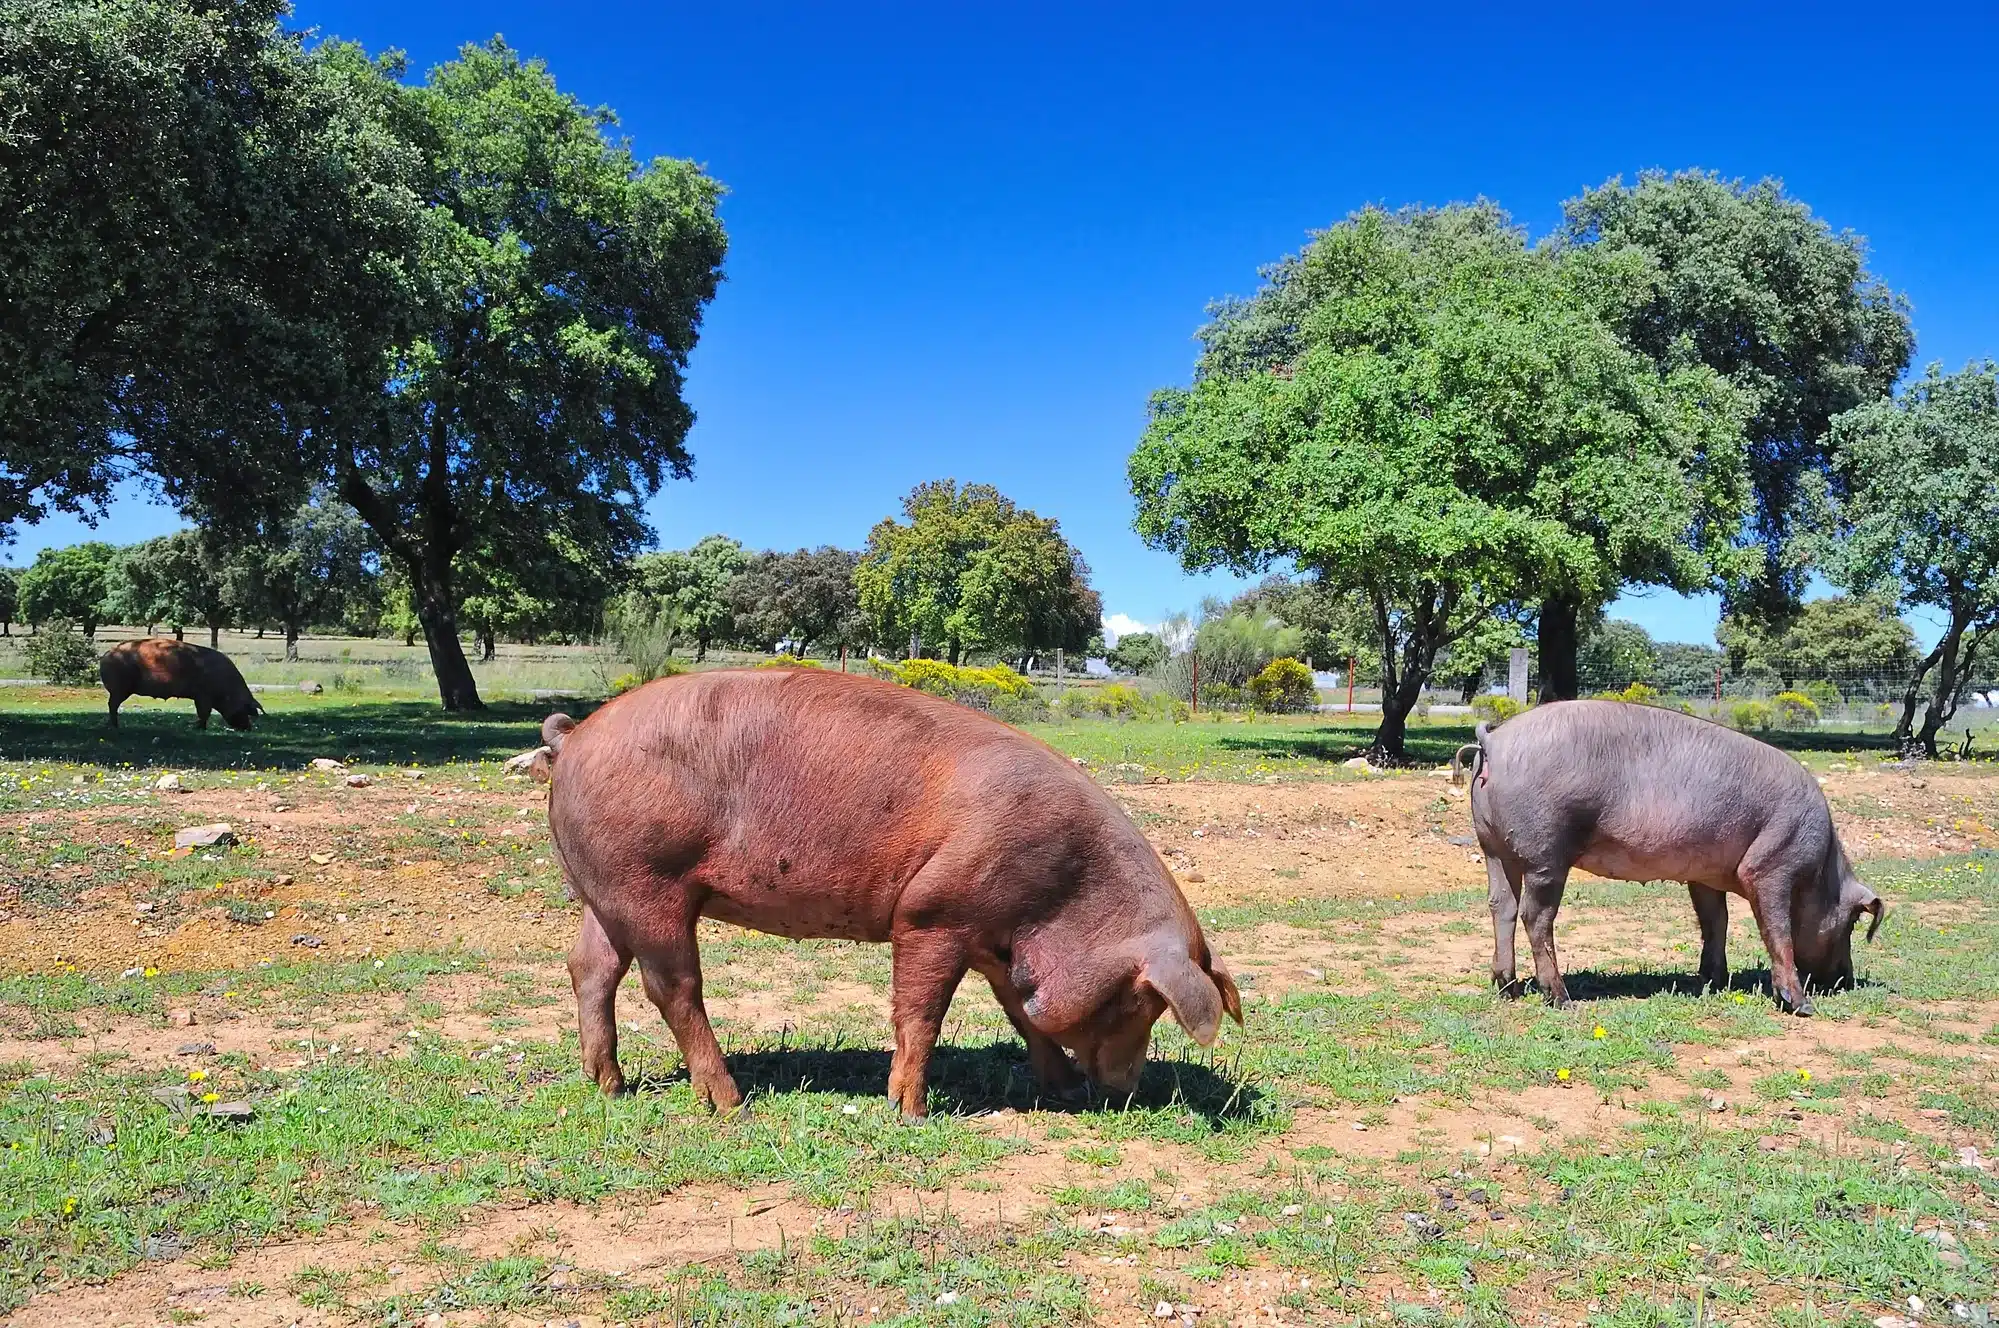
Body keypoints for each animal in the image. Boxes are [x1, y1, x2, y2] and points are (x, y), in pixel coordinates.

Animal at [100, 640, 263, 732]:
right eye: (245, 709)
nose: (248, 728)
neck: (228, 689)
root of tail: (106, 654)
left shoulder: (199, 697)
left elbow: (202, 713)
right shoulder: (204, 695)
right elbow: (204, 713)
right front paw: (200, 729)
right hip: (120, 688)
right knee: (112, 704)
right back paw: (116, 726)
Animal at [539, 668, 1239, 1112]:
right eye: (1137, 1002)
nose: (1128, 1092)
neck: (1063, 889)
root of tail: (574, 737)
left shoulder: (993, 939)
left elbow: (1020, 1013)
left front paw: (1062, 1090)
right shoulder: (933, 913)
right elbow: (922, 1014)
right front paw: (909, 1111)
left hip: (607, 889)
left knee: (589, 967)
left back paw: (609, 1087)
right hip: (648, 881)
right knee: (672, 988)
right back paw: (729, 1103)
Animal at [1463, 704, 1879, 1016]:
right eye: (1852, 922)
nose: (1845, 979)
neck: (1821, 871)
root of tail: (1494, 741)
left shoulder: (1705, 877)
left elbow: (1715, 922)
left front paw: (1713, 981)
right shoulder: (1771, 866)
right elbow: (1777, 930)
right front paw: (1801, 1006)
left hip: (1493, 847)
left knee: (1501, 905)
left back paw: (1507, 989)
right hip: (1546, 853)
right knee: (1536, 917)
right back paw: (1562, 1000)